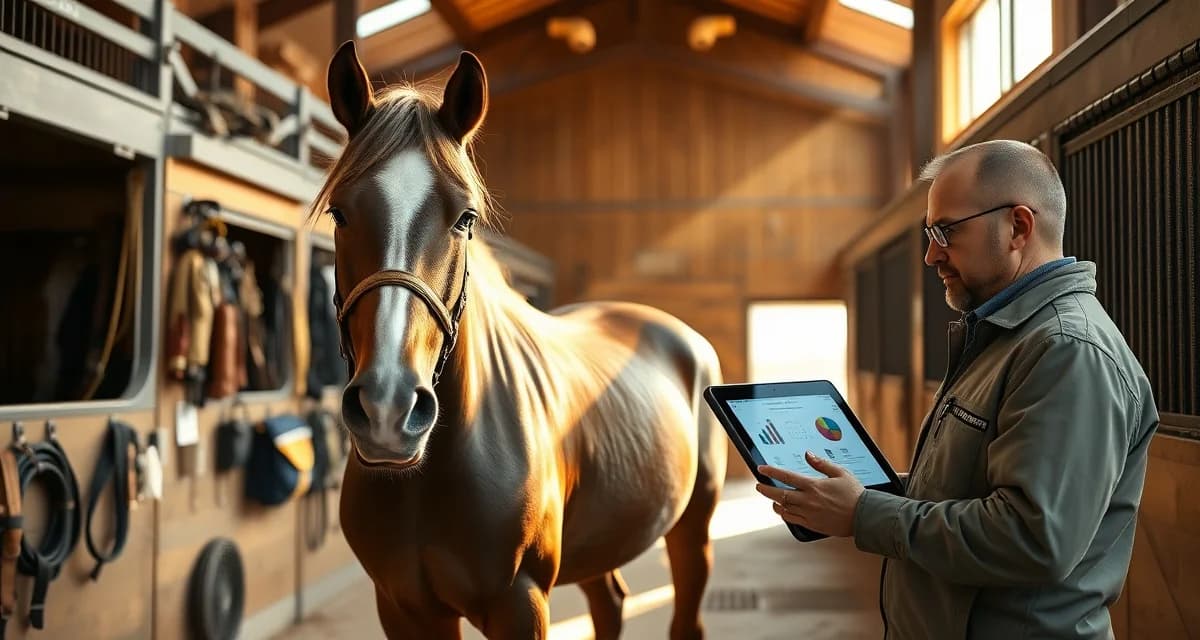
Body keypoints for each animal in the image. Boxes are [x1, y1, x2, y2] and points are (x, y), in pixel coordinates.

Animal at [315, 41, 728, 639]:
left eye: (465, 218)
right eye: (340, 212)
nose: (388, 409)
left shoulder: (520, 601)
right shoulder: (403, 608)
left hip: (693, 527)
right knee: (610, 604)